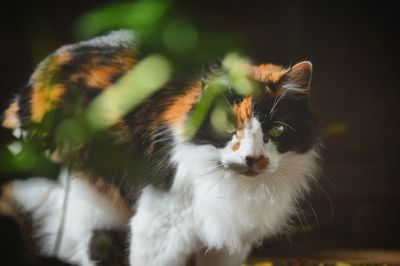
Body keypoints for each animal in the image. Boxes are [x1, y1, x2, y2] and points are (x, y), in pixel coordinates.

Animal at [0, 30, 318, 264]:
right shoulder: (159, 229)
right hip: (78, 198)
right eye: (228, 128)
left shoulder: (230, 246)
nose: (251, 158)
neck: (232, 186)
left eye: (275, 131)